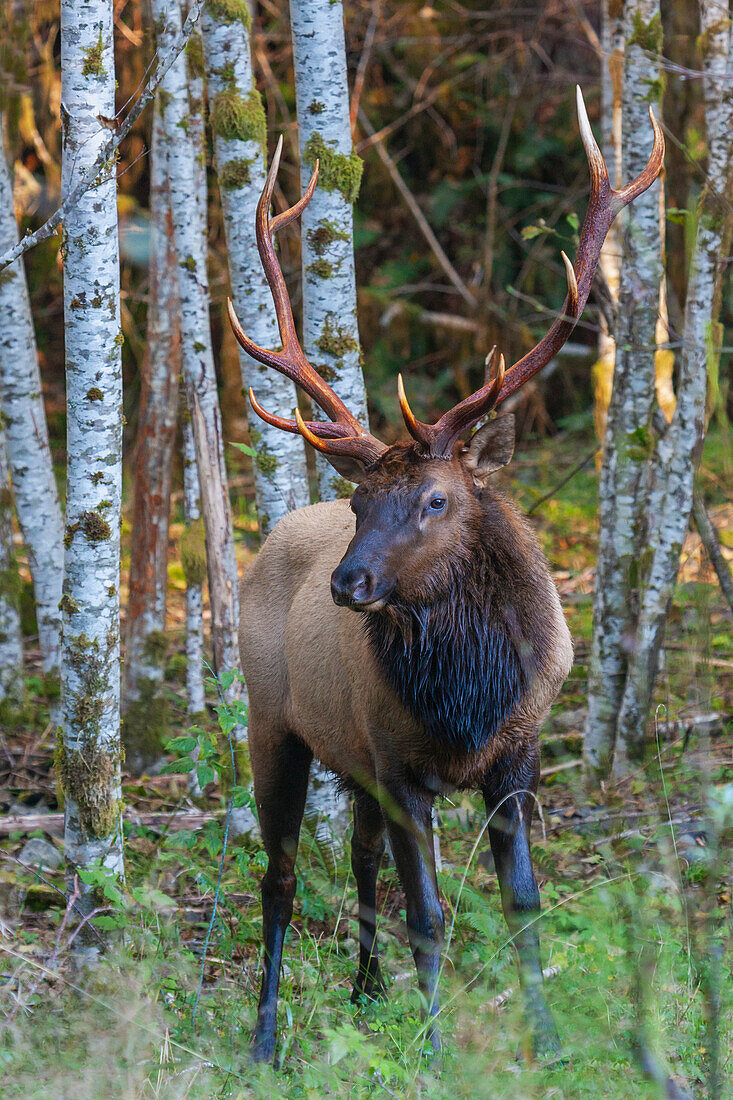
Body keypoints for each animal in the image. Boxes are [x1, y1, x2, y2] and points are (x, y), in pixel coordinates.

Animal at [228, 90, 660, 1060]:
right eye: (359, 502)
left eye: (434, 499)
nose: (348, 585)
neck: (468, 696)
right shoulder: (398, 766)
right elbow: (427, 915)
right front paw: (432, 1052)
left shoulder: (518, 753)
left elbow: (522, 902)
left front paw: (547, 1042)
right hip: (275, 723)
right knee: (279, 879)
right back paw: (265, 1038)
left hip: (346, 755)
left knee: (354, 860)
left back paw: (364, 993)